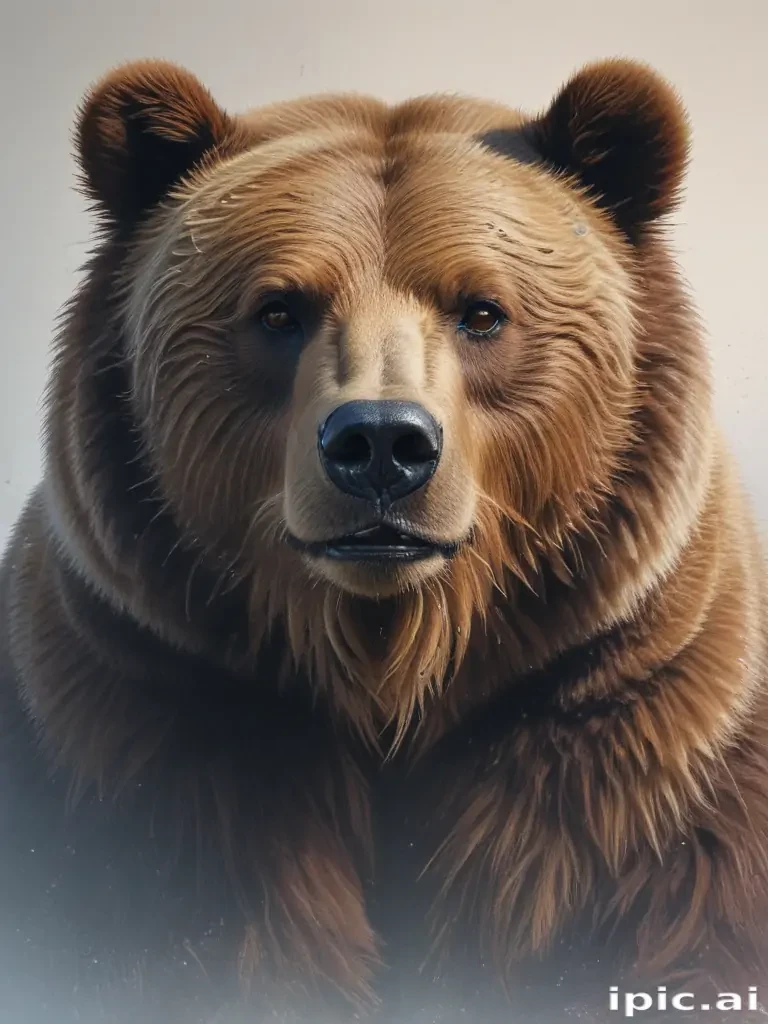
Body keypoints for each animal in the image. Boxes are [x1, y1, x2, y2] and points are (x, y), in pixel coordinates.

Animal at [1, 55, 767, 1024]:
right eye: (278, 310)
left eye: (482, 310)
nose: (380, 445)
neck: (390, 667)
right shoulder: (152, 706)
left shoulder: (632, 731)